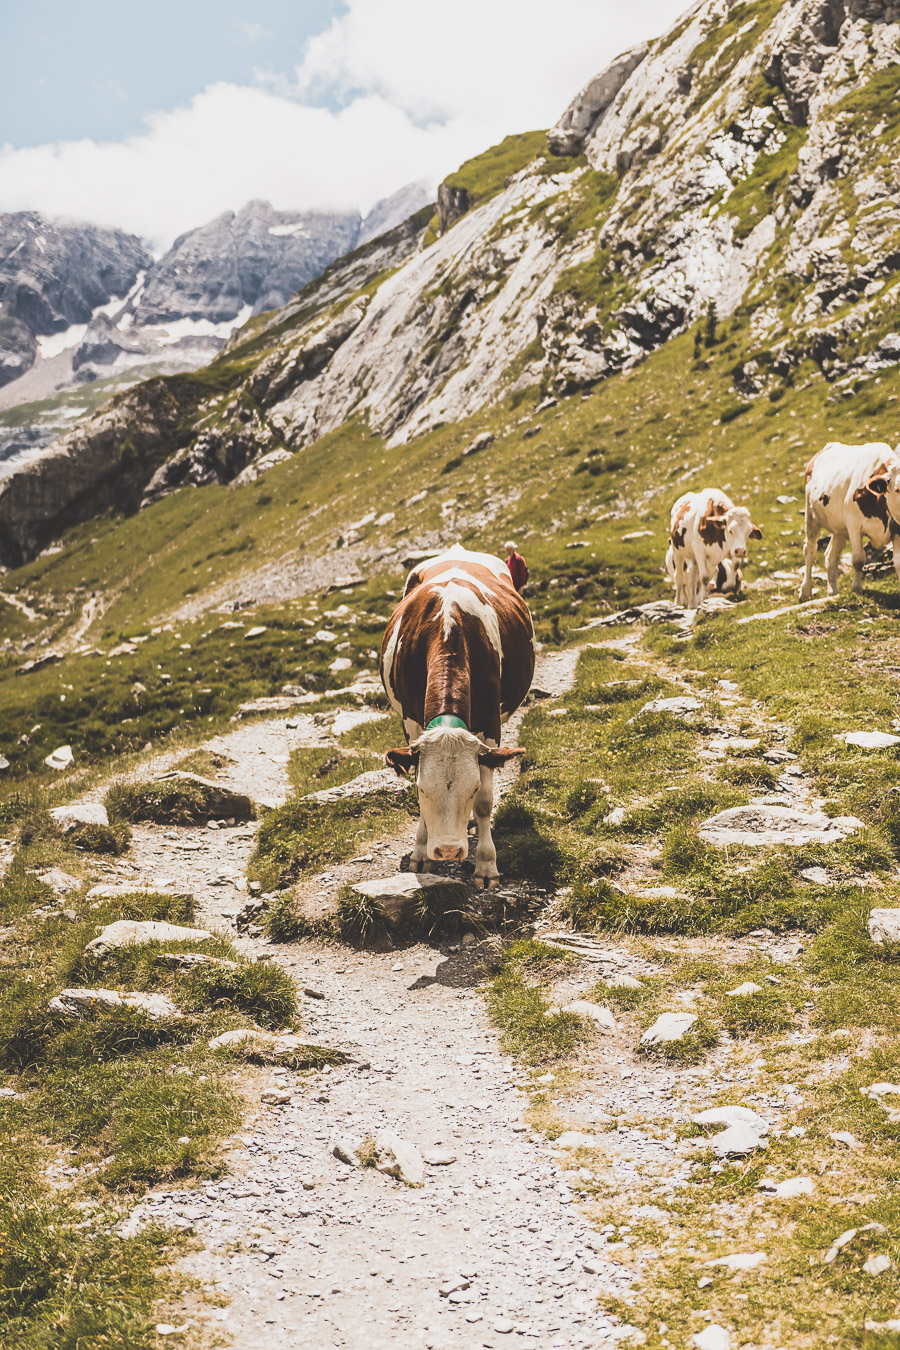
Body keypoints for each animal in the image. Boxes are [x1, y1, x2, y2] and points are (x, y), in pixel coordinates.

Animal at [380, 542, 534, 891]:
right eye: (424, 789)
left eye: (472, 788)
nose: (448, 850)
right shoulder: (411, 723)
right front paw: (420, 851)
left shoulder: (490, 725)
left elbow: (486, 802)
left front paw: (486, 866)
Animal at [798, 440, 900, 599]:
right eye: (897, 489)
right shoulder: (853, 525)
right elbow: (858, 559)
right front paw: (856, 588)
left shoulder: (896, 529)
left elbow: (898, 562)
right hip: (811, 517)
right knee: (810, 550)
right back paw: (805, 591)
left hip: (839, 530)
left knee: (830, 555)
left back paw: (832, 591)